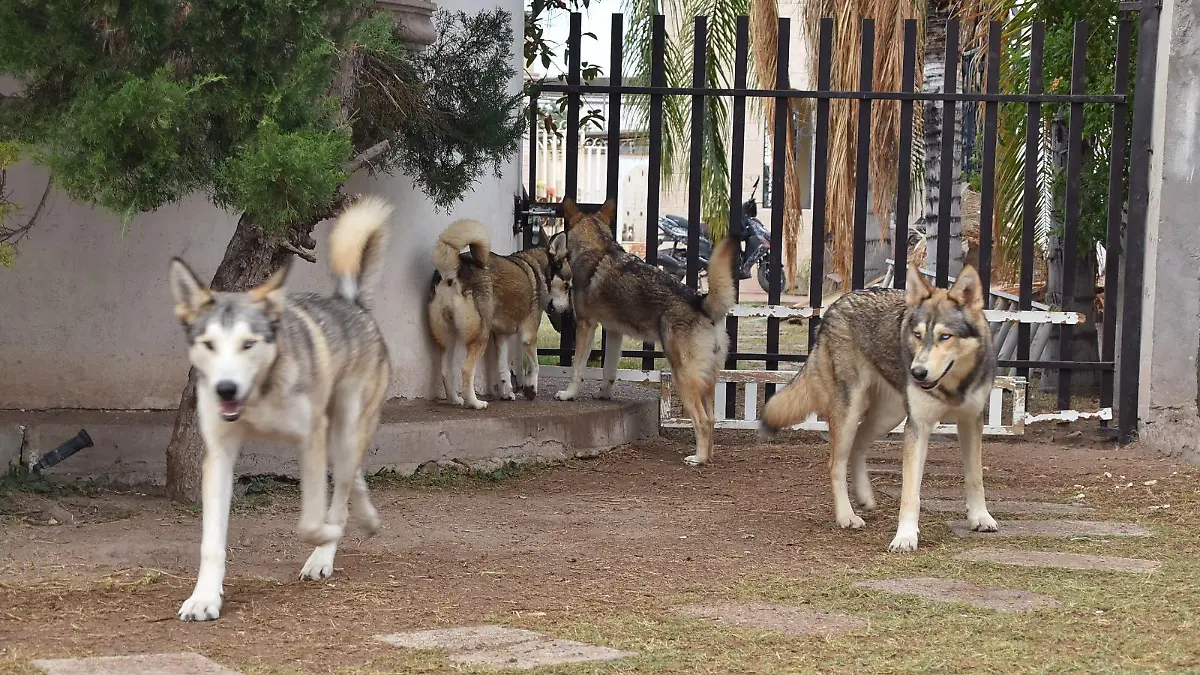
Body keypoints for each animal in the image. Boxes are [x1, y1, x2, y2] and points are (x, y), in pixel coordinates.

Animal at [167, 196, 394, 621]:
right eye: (208, 344)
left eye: (248, 344)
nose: (225, 389)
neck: (260, 394)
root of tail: (353, 304)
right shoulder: (219, 455)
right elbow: (211, 543)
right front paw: (204, 598)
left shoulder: (310, 441)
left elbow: (311, 521)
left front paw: (325, 538)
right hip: (338, 437)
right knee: (351, 477)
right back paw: (367, 518)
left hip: (343, 430)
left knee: (342, 487)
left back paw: (325, 554)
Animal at [427, 221, 568, 408]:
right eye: (567, 285)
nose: (566, 311)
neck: (537, 270)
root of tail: (455, 268)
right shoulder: (529, 335)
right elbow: (535, 365)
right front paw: (530, 389)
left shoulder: (501, 336)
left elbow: (503, 369)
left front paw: (507, 393)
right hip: (480, 335)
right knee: (466, 369)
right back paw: (474, 403)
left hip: (448, 337)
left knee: (445, 370)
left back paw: (455, 399)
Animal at [553, 198, 737, 467]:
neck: (598, 249)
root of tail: (701, 303)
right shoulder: (614, 332)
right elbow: (609, 371)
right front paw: (604, 395)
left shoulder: (586, 326)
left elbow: (577, 368)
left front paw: (568, 394)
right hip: (708, 383)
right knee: (712, 419)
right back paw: (708, 456)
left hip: (683, 380)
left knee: (702, 420)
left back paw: (698, 458)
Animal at [759, 264, 998, 552]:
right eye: (917, 335)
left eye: (945, 336)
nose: (917, 373)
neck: (952, 386)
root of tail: (836, 304)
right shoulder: (918, 427)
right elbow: (910, 493)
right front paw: (905, 537)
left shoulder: (971, 421)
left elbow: (975, 477)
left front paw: (980, 518)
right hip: (853, 412)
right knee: (835, 463)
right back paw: (847, 516)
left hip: (889, 416)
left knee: (859, 445)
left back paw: (864, 496)